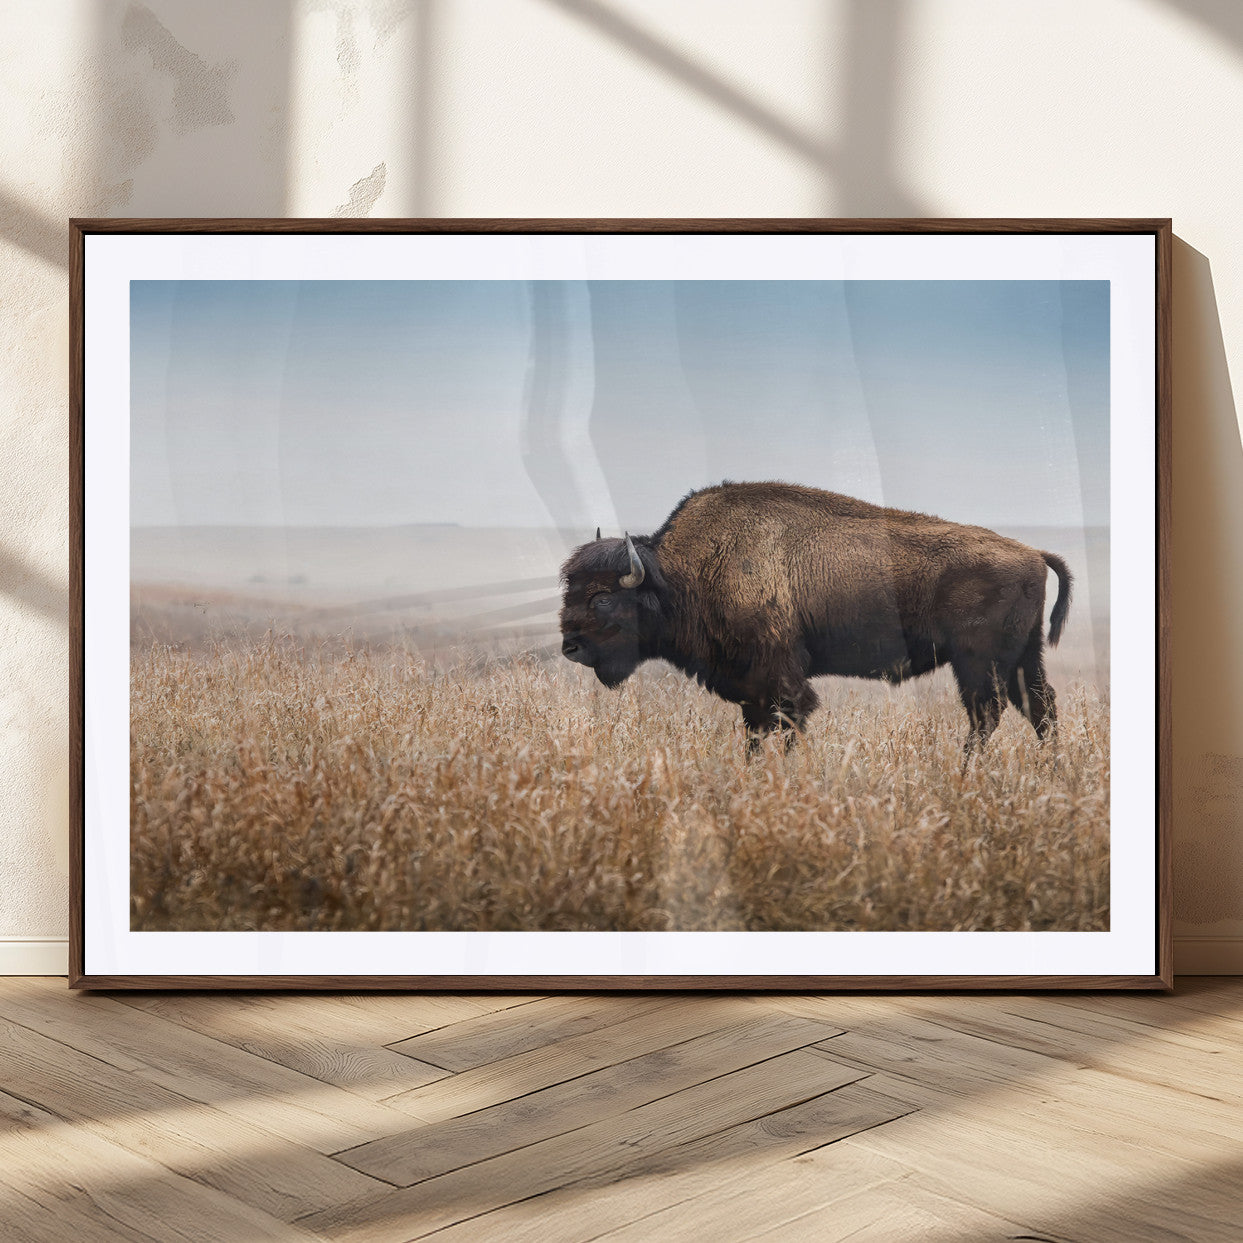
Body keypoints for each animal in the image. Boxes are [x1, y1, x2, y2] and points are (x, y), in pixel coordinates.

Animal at [559, 481, 1072, 755]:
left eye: (602, 598)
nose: (570, 647)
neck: (684, 572)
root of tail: (1032, 552)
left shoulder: (781, 681)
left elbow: (787, 725)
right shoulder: (752, 689)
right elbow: (756, 734)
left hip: (978, 662)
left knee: (988, 714)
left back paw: (966, 773)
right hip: (1023, 657)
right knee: (1040, 708)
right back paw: (1051, 772)